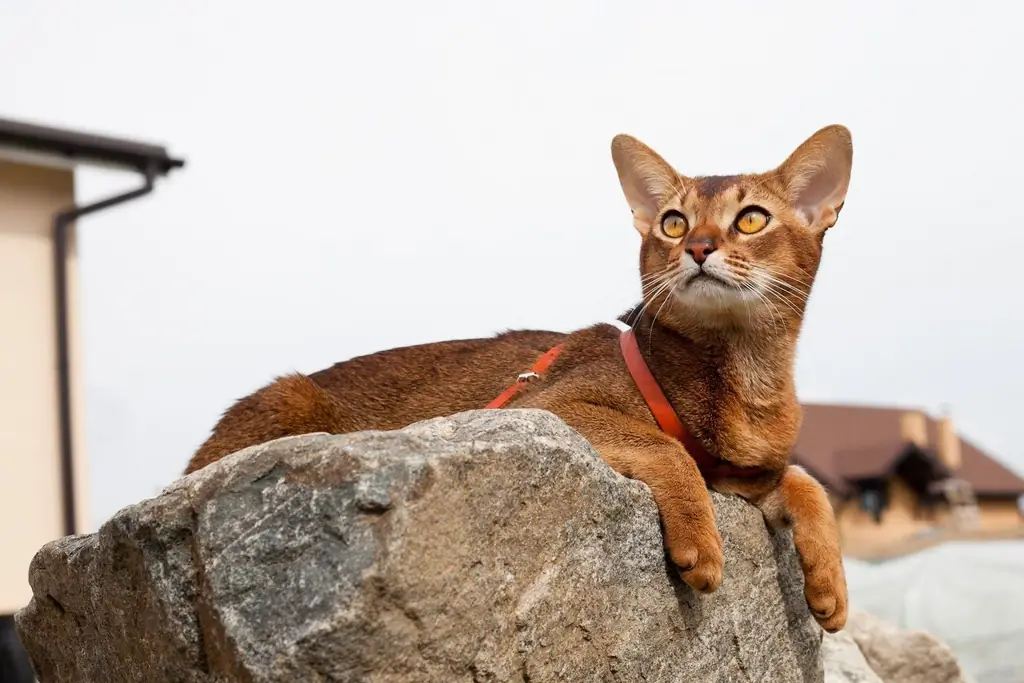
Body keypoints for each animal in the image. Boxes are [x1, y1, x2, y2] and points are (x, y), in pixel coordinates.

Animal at [188, 124, 851, 634]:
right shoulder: (547, 404)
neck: (747, 380)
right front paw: (702, 547)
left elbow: (807, 483)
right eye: (671, 223)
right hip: (287, 397)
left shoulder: (743, 473)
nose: (699, 246)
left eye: (752, 219)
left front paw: (830, 589)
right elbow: (666, 445)